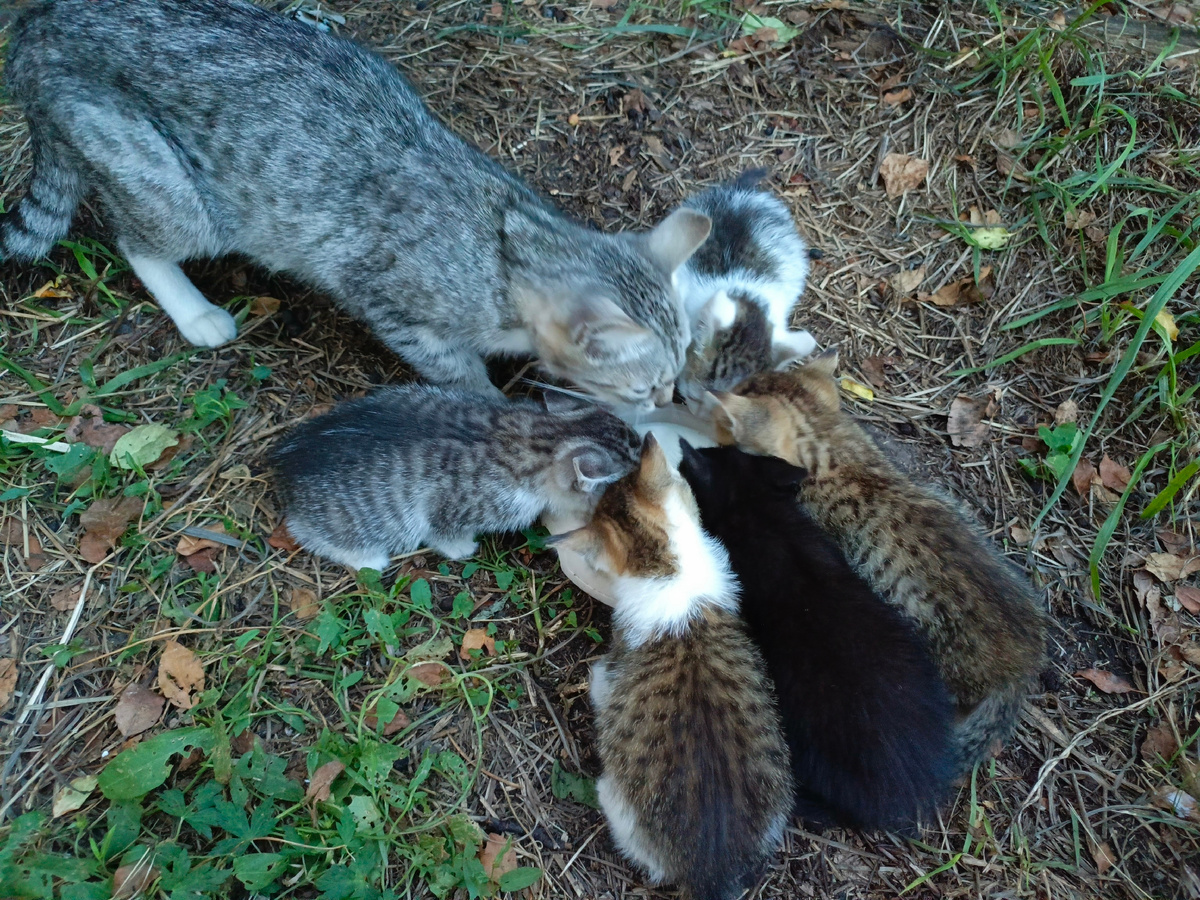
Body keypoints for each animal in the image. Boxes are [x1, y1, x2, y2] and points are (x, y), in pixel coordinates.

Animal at [0, 0, 710, 409]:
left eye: (676, 373)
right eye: (644, 385)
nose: (666, 399)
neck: (510, 240)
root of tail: (39, 22)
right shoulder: (390, 301)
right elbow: (454, 368)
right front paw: (491, 401)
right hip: (162, 178)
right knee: (138, 239)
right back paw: (195, 311)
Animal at [270, 386, 640, 570]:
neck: (542, 435)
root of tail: (286, 459)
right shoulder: (453, 506)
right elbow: (443, 531)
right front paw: (462, 548)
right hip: (352, 521)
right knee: (307, 531)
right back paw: (365, 559)